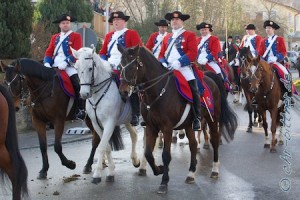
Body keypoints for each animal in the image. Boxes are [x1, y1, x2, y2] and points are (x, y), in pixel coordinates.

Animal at [70, 46, 145, 183]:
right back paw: (135, 160)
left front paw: (97, 174)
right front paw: (110, 172)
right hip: (127, 120)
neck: (97, 94)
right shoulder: (96, 124)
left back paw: (143, 166)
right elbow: (106, 147)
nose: (84, 94)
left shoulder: (109, 123)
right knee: (134, 135)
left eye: (90, 68)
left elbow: (101, 147)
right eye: (76, 68)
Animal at [117, 45, 237, 194]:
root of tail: (209, 77)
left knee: (214, 140)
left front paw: (164, 182)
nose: (123, 91)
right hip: (189, 125)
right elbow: (148, 154)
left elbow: (166, 155)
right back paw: (191, 173)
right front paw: (159, 169)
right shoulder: (151, 127)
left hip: (213, 119)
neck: (157, 92)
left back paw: (214, 170)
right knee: (193, 145)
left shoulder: (167, 128)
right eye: (120, 65)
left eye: (133, 67)